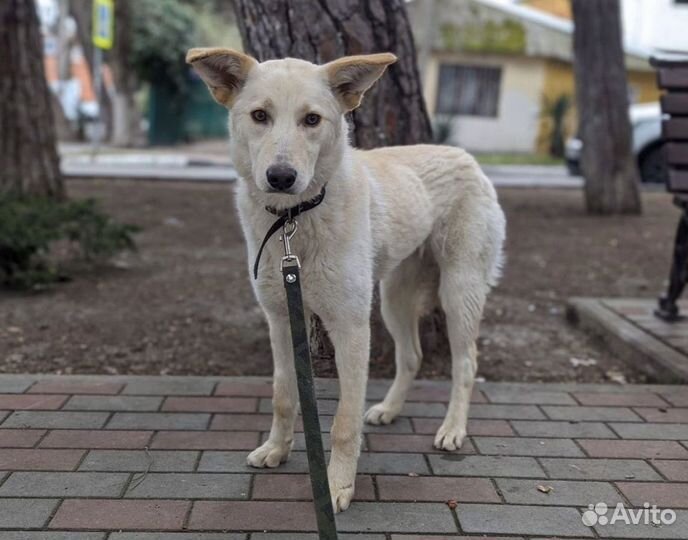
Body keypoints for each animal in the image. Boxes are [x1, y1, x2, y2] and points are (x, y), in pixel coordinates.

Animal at [188, 48, 506, 512]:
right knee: (411, 357)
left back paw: (452, 430)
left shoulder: (351, 328)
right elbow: (283, 396)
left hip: (457, 292)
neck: (294, 220)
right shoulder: (281, 320)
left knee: (465, 364)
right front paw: (277, 450)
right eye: (260, 115)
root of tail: (465, 156)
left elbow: (343, 422)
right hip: (393, 299)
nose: (280, 177)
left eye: (312, 120)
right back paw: (389, 409)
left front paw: (337, 485)